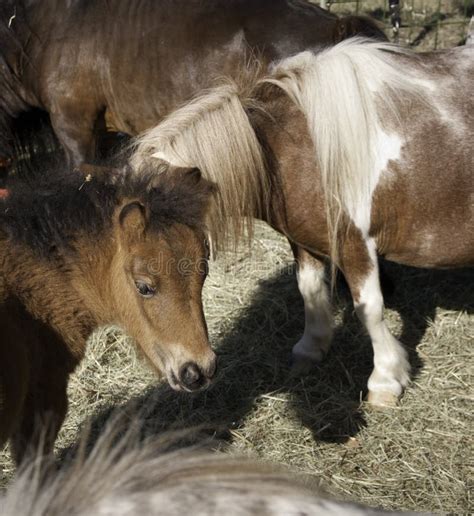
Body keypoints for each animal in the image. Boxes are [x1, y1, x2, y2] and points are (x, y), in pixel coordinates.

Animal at [133, 39, 474, 408]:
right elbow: (309, 290)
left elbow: (369, 308)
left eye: (144, 285)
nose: (190, 373)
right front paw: (311, 349)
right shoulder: (304, 240)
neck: (297, 149)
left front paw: (385, 380)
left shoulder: (356, 245)